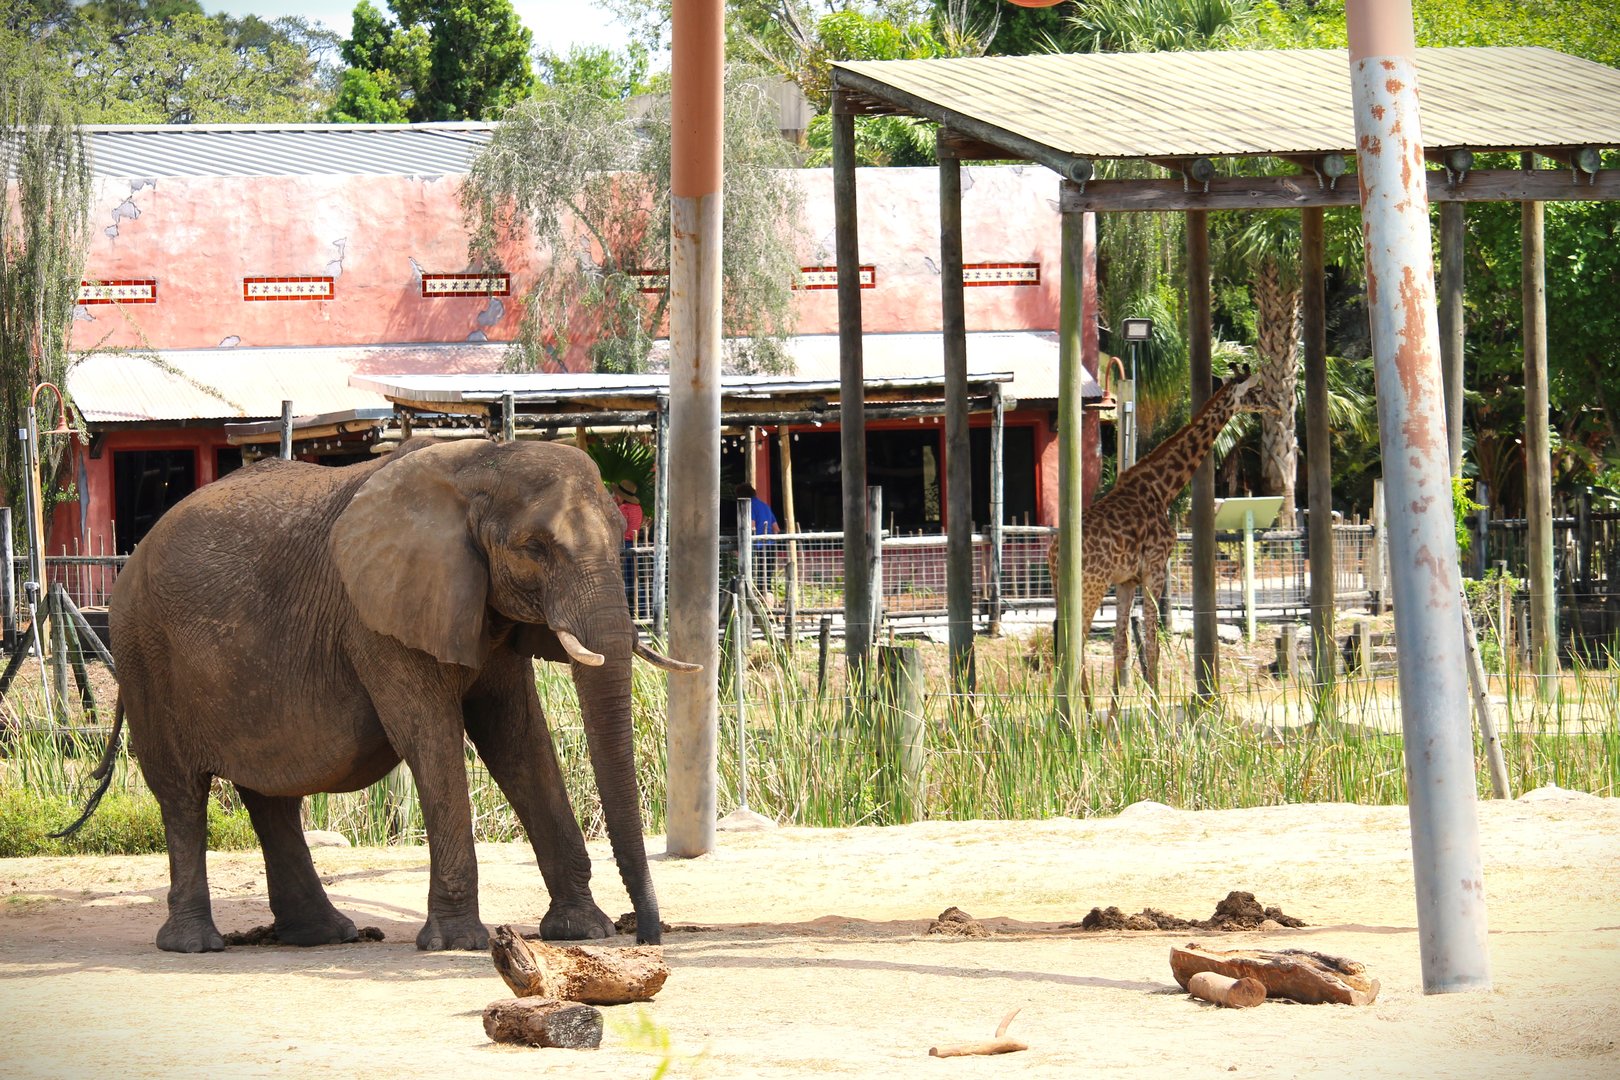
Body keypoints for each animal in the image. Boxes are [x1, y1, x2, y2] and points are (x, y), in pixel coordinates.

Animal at [85, 436, 695, 953]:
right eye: (535, 548)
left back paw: (324, 935)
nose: (646, 938)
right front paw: (457, 944)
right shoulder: (377, 619)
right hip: (143, 652)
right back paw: (195, 945)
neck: (482, 461)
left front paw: (583, 932)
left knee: (271, 796)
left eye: (622, 534)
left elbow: (518, 738)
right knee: (181, 792)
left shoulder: (480, 609)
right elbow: (432, 735)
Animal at [1048, 363, 1273, 692]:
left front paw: (1120, 707)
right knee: (1074, 643)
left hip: (1063, 587)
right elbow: (1153, 643)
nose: (1277, 406)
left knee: (1064, 640)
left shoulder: (1127, 580)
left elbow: (1122, 645)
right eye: (1257, 390)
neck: (1162, 487)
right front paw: (1156, 705)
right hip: (1090, 585)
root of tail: (1053, 555)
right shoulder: (1154, 568)